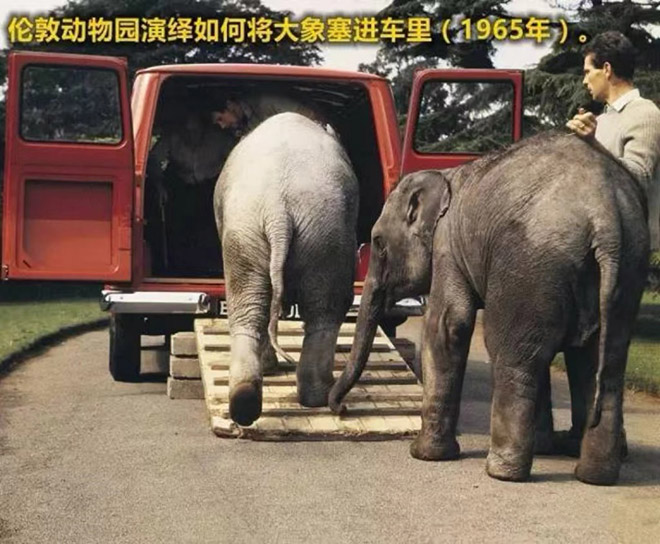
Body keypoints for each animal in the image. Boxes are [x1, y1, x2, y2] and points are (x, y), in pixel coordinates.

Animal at [214, 112, 359, 426]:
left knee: (252, 307)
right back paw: (313, 395)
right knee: (323, 309)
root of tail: (278, 210)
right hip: (319, 233)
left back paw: (249, 401)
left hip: (262, 233)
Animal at [329, 131, 649, 485]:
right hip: (626, 270)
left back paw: (502, 471)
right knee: (600, 364)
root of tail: (605, 216)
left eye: (379, 243)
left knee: (513, 355)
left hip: (530, 265)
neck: (446, 176)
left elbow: (447, 325)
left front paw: (423, 455)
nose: (340, 409)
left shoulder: (447, 246)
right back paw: (593, 474)